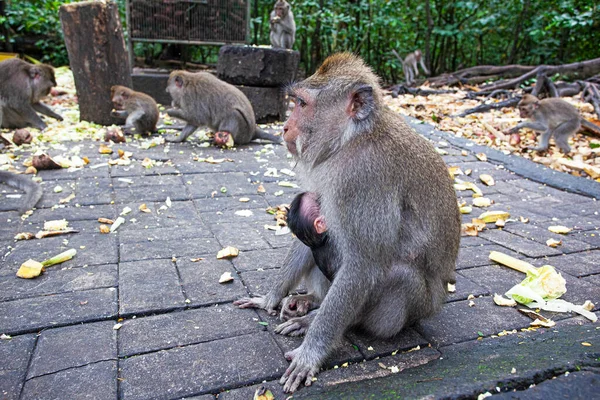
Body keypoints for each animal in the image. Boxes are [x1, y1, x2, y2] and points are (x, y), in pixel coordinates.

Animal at [234, 51, 460, 392]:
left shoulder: (363, 176)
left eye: (302, 103)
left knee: (397, 274)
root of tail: (437, 304)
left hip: (410, 312)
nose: (284, 127)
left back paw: (317, 321)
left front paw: (310, 355)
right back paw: (309, 301)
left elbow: (363, 264)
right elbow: (311, 226)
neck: (353, 137)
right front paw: (269, 298)